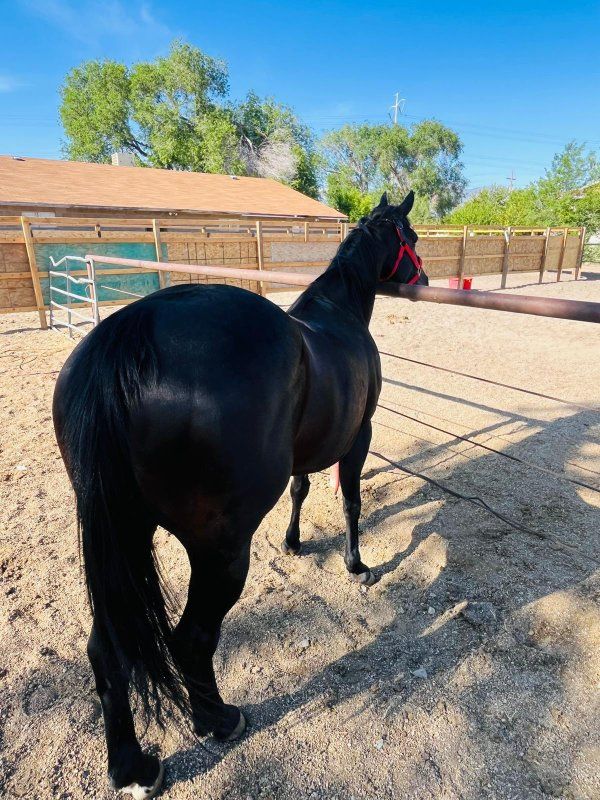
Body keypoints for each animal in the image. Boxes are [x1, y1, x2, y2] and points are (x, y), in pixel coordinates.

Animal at [52, 190, 427, 798]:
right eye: (410, 237)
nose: (425, 275)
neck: (337, 316)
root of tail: (126, 336)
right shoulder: (359, 436)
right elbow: (350, 500)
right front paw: (357, 564)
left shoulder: (304, 451)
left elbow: (301, 489)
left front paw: (296, 543)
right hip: (220, 552)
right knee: (191, 640)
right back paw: (219, 721)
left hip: (123, 543)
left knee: (108, 652)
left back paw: (133, 769)